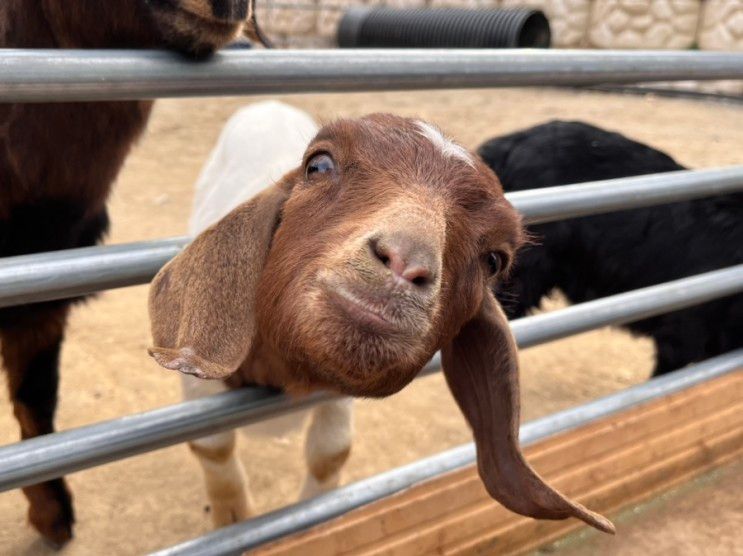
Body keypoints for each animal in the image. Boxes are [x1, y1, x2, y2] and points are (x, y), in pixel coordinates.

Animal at [150, 114, 616, 536]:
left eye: (493, 260)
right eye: (318, 165)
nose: (405, 262)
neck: (279, 375)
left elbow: (330, 453)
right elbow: (213, 446)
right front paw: (232, 517)